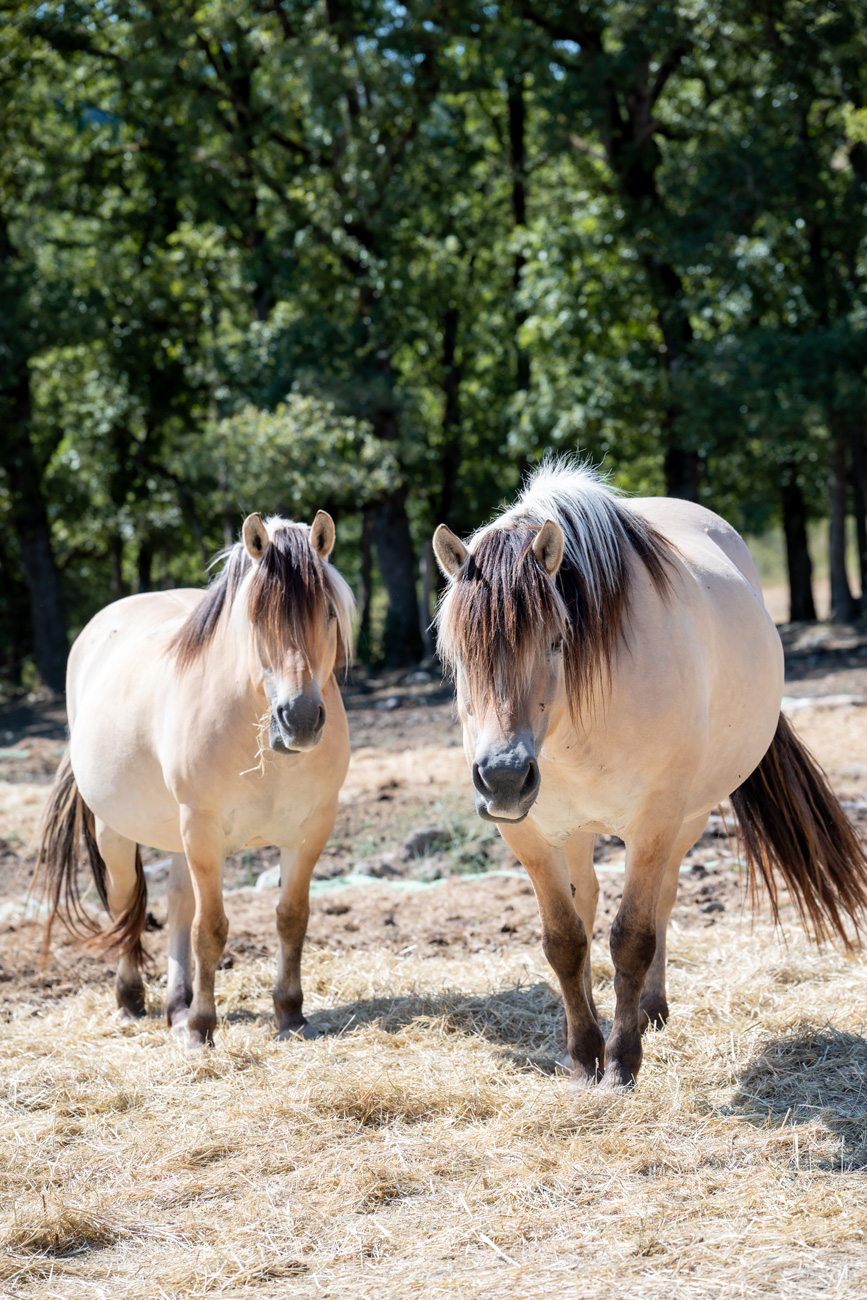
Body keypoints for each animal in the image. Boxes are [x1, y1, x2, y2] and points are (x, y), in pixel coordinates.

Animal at [37, 510, 354, 1049]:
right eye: (255, 618)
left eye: (328, 613)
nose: (300, 719)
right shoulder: (203, 830)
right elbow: (212, 929)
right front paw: (202, 1028)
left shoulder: (311, 830)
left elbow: (291, 918)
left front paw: (290, 1015)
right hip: (118, 831)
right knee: (126, 905)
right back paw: (132, 1001)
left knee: (177, 903)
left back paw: (177, 1005)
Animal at [433, 458, 867, 1089]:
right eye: (459, 654)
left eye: (557, 640)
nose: (505, 779)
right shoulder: (530, 835)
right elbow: (564, 939)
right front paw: (582, 1055)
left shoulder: (655, 820)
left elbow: (634, 936)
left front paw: (620, 1061)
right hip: (575, 831)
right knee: (587, 901)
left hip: (686, 818)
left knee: (663, 897)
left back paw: (650, 1010)